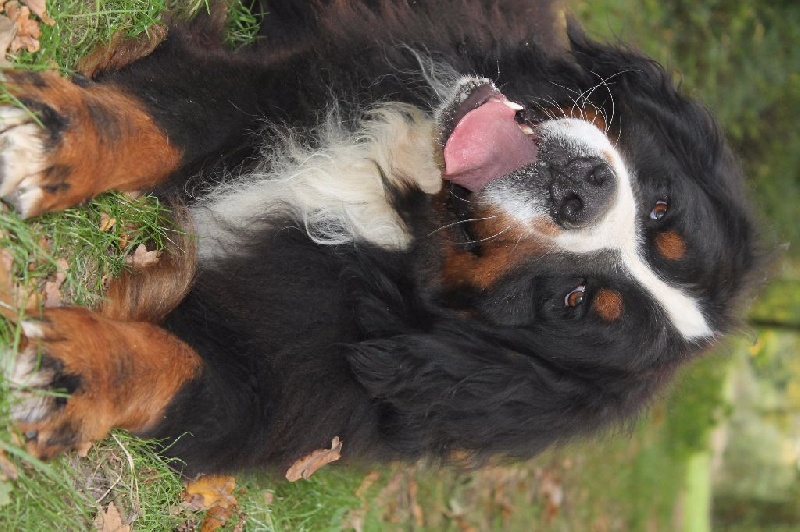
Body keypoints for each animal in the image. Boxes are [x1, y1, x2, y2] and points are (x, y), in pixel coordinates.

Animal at [0, 0, 760, 477]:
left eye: (572, 302)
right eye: (659, 205)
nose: (584, 188)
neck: (404, 211)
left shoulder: (285, 392)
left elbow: (173, 371)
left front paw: (72, 372)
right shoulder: (292, 78)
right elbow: (159, 122)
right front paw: (49, 143)